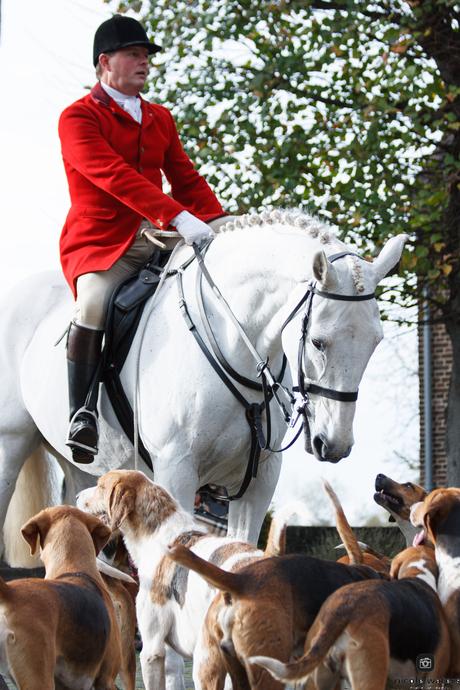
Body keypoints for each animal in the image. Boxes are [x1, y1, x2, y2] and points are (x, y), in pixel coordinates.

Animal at [0, 207, 404, 556]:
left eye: (376, 341)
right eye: (318, 341)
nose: (334, 444)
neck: (234, 344)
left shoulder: (259, 481)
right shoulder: (176, 471)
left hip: (85, 469)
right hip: (11, 443)